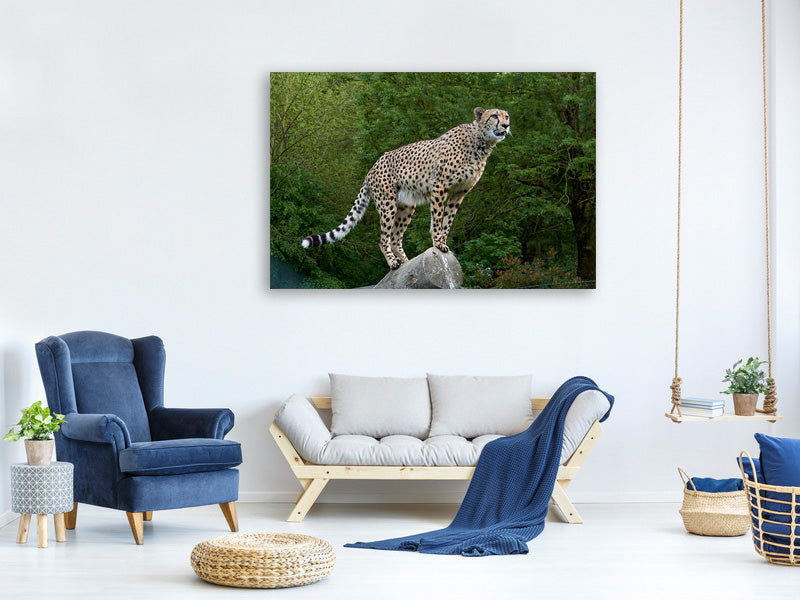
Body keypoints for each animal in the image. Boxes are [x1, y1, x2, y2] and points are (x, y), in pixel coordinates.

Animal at [301, 107, 510, 270]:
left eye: (506, 116)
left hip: (407, 206)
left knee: (395, 237)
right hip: (387, 203)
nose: (506, 126)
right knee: (384, 238)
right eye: (494, 116)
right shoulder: (440, 186)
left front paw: (443, 242)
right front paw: (438, 243)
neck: (481, 143)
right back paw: (393, 263)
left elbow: (447, 221)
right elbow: (437, 219)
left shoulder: (458, 193)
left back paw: (407, 262)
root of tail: (373, 166)